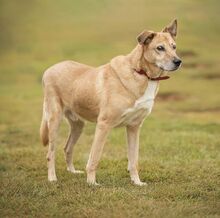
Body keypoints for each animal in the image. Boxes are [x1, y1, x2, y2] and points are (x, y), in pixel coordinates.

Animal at [40, 19, 182, 186]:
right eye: (160, 48)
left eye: (174, 46)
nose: (178, 61)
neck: (141, 73)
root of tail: (50, 69)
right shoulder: (104, 125)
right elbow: (94, 158)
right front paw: (91, 183)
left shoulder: (134, 127)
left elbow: (133, 160)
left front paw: (137, 182)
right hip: (54, 121)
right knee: (51, 153)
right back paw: (52, 178)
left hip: (78, 125)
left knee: (67, 147)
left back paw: (72, 171)